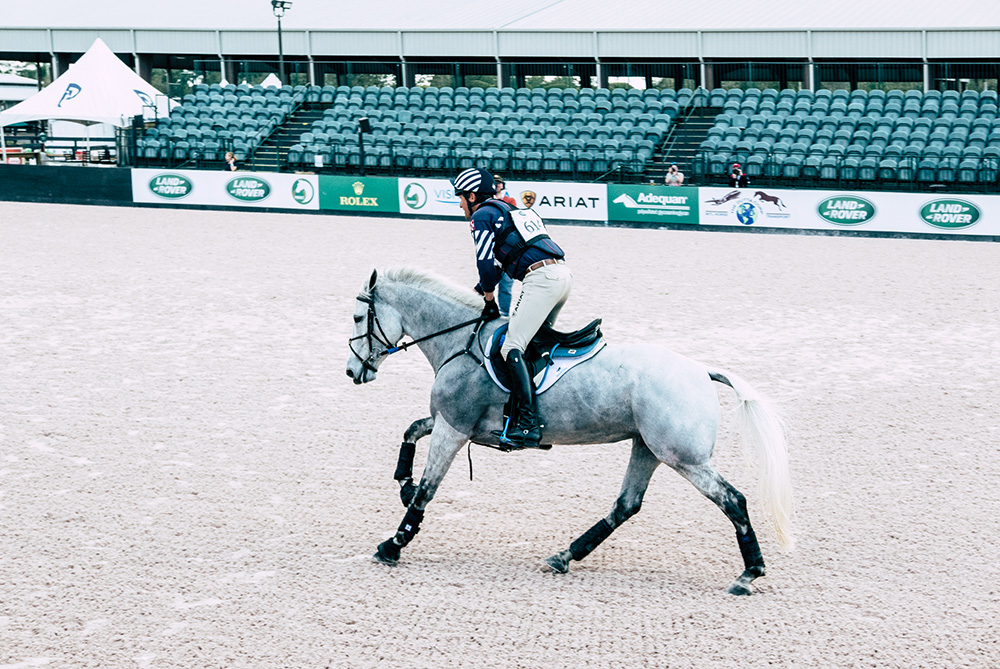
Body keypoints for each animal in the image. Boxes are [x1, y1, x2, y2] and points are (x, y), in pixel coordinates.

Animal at [348, 266, 792, 596]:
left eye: (356, 318)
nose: (353, 372)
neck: (460, 340)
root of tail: (701, 371)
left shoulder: (453, 429)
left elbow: (428, 490)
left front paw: (393, 544)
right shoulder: (452, 423)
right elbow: (411, 432)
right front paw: (402, 483)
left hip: (684, 458)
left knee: (733, 501)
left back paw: (749, 574)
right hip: (648, 448)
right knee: (626, 505)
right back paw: (564, 556)